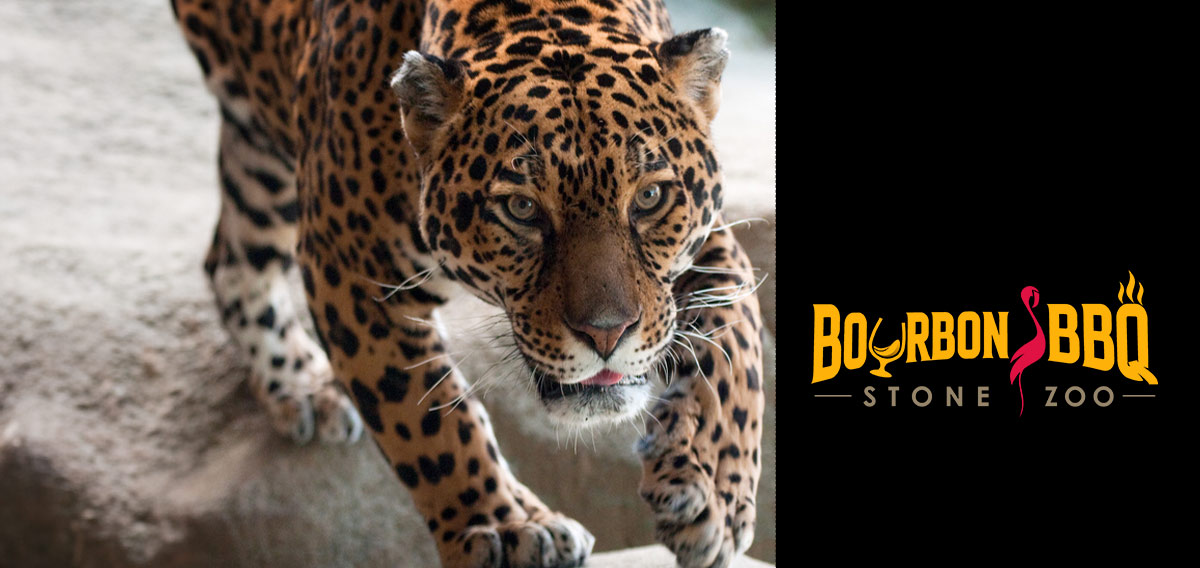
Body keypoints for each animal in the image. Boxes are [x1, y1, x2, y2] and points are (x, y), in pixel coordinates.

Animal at [172, 0, 766, 566]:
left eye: (649, 197)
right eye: (522, 209)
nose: (606, 334)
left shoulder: (706, 235)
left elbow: (736, 336)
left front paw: (714, 492)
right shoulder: (349, 267)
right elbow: (428, 419)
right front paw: (507, 528)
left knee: (231, 256)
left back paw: (299, 381)